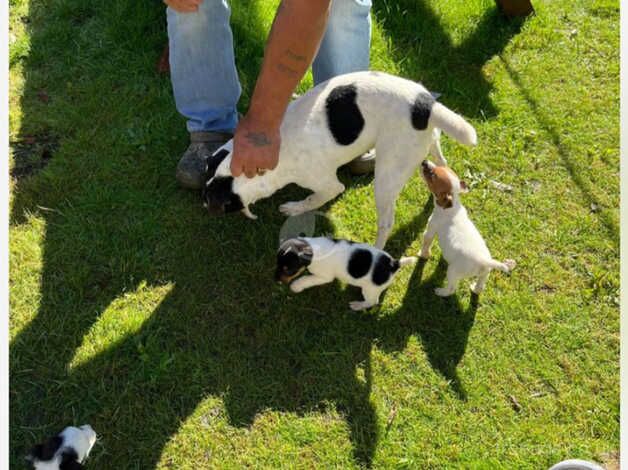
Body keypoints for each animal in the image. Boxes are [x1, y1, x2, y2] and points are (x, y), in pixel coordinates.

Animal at [204, 70, 474, 250]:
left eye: (213, 200)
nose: (203, 202)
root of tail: (424, 104)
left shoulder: (327, 185)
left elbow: (314, 198)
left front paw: (296, 208)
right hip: (430, 143)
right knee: (442, 162)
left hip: (387, 177)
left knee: (387, 222)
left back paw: (377, 248)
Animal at [276, 237, 418, 310]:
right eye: (277, 264)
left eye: (288, 269)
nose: (276, 280)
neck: (313, 249)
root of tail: (394, 264)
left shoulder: (324, 277)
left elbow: (306, 279)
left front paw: (296, 286)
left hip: (370, 290)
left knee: (372, 302)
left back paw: (358, 305)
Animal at [418, 160, 516, 296]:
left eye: (433, 175)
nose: (424, 161)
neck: (453, 207)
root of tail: (483, 261)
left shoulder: (430, 229)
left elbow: (426, 243)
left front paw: (422, 255)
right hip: (485, 274)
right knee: (480, 287)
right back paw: (474, 288)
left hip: (452, 272)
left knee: (451, 289)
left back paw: (440, 292)